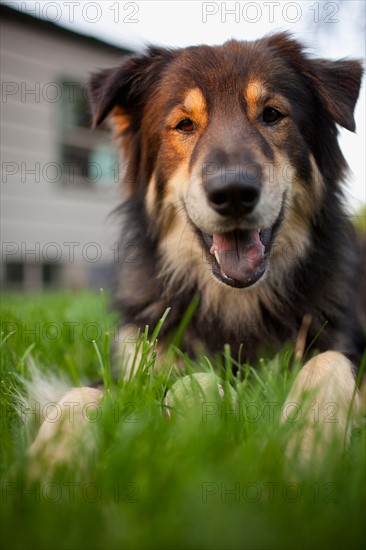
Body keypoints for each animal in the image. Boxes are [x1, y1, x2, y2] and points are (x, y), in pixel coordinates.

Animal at [27, 31, 364, 470]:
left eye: (272, 114)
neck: (234, 302)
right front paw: (52, 461)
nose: (233, 193)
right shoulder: (135, 362)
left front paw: (307, 443)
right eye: (184, 124)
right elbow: (82, 394)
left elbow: (329, 361)